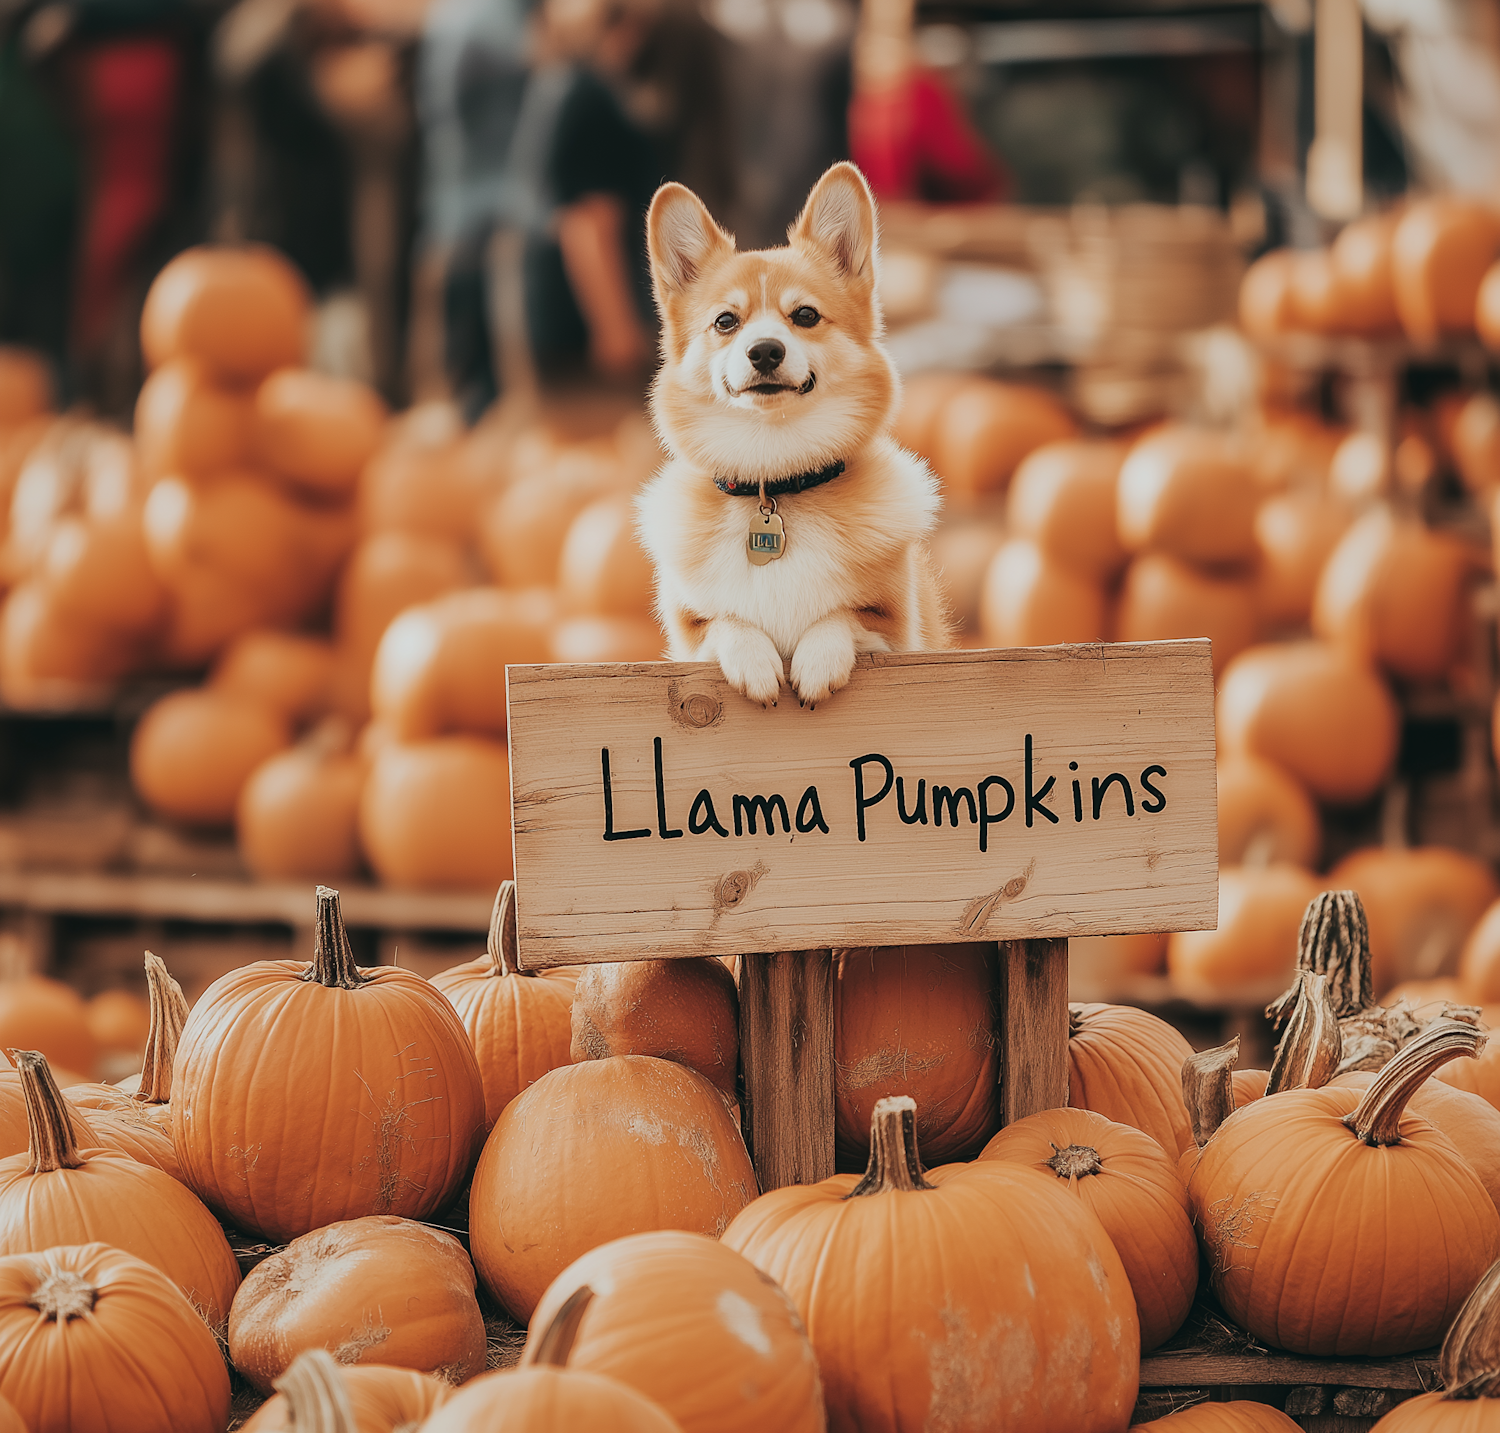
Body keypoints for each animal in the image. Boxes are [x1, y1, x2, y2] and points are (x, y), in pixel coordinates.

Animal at [636, 159, 942, 708]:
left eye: (805, 315)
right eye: (725, 321)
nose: (764, 351)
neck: (774, 473)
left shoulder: (898, 631)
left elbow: (842, 616)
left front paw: (819, 659)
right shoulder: (689, 636)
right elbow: (726, 621)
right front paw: (755, 662)